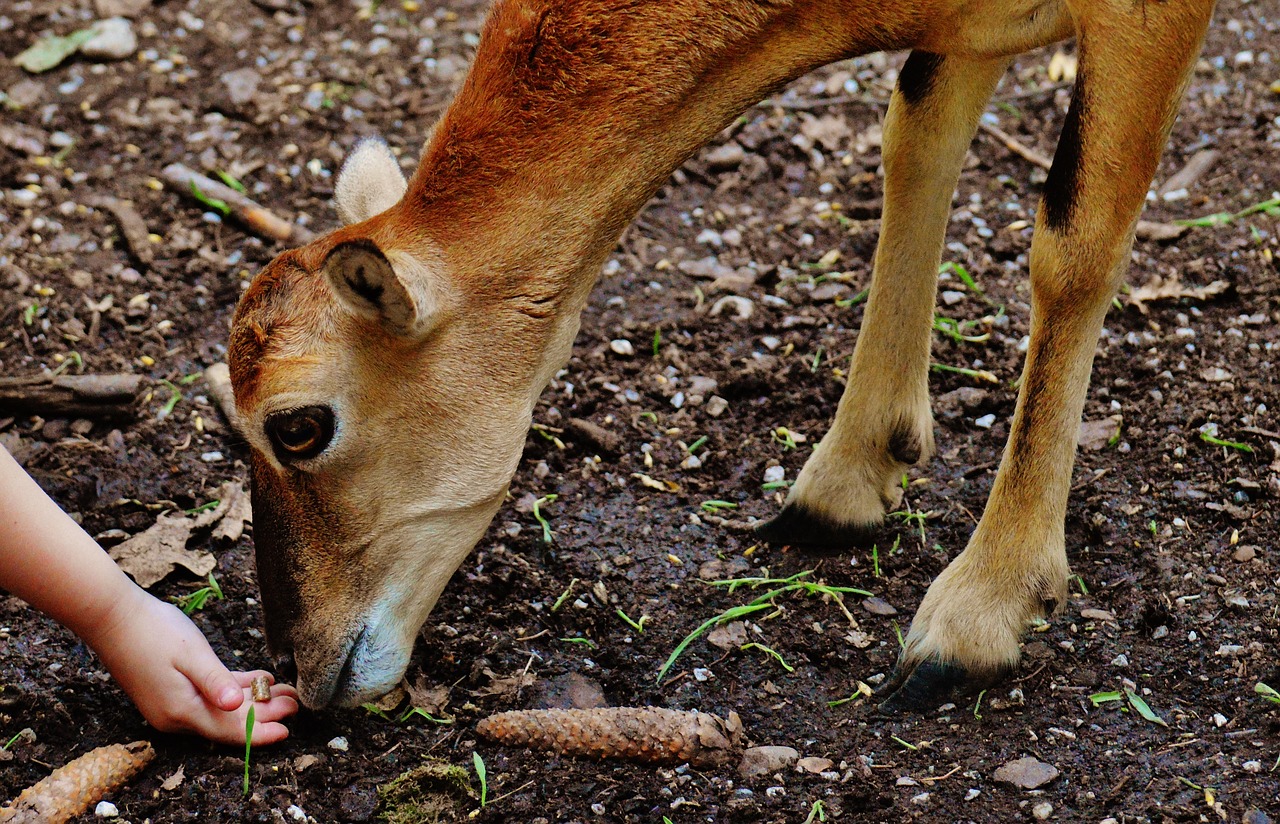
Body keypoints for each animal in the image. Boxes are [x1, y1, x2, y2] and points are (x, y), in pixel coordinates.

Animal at [225, 0, 1213, 706]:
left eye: (299, 425)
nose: (296, 662)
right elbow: (915, 134)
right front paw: (840, 487)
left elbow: (1073, 244)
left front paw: (975, 621)